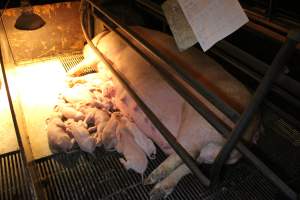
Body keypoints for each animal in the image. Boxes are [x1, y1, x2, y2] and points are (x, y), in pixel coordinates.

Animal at [69, 26, 258, 198]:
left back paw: (152, 179)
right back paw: (157, 191)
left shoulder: (97, 57)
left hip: (199, 123)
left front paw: (69, 77)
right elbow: (90, 77)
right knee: (190, 166)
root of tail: (254, 130)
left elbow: (83, 66)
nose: (85, 43)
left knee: (186, 153)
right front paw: (74, 81)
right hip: (208, 152)